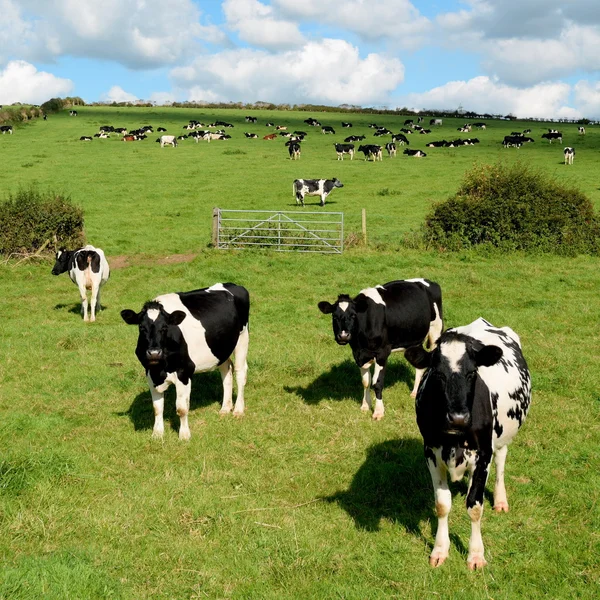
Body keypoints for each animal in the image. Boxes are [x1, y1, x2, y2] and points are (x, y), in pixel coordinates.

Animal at [120, 282, 250, 440]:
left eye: (165, 327)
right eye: (141, 327)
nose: (154, 353)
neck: (161, 368)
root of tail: (232, 284)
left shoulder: (184, 372)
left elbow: (181, 408)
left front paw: (184, 435)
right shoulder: (150, 373)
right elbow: (157, 408)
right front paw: (157, 434)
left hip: (242, 338)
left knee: (240, 372)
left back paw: (238, 410)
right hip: (221, 348)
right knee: (226, 371)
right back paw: (225, 408)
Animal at [316, 278, 442, 420]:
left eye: (353, 315)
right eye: (334, 316)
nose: (343, 336)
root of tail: (428, 281)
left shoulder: (382, 353)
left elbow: (377, 383)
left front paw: (378, 411)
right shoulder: (358, 354)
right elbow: (365, 382)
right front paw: (365, 405)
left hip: (436, 330)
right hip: (415, 339)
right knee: (419, 365)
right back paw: (414, 392)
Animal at [406, 316, 532, 568]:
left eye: (472, 373)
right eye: (437, 373)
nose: (458, 417)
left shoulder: (483, 455)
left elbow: (474, 506)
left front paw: (476, 554)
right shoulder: (431, 452)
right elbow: (442, 504)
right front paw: (440, 549)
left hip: (502, 437)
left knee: (501, 460)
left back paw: (500, 499)